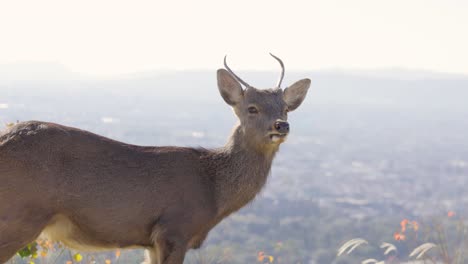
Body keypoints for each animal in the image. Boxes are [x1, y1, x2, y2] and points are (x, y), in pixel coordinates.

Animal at [0, 53, 310, 262]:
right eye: (252, 108)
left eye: (285, 108)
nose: (281, 126)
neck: (213, 190)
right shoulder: (174, 229)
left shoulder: (150, 241)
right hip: (19, 214)